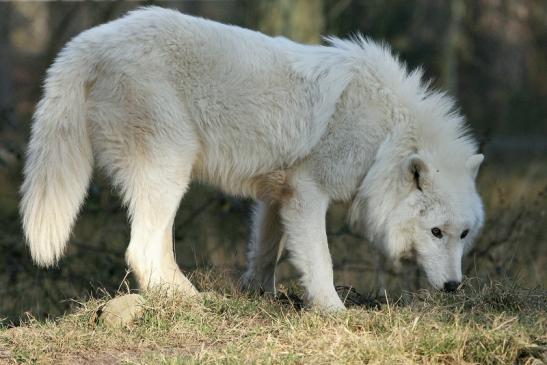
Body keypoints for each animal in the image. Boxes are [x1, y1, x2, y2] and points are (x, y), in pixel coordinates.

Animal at [21, 7, 484, 308]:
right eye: (436, 232)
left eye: (463, 234)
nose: (453, 286)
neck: (385, 134)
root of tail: (88, 40)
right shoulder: (308, 193)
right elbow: (321, 261)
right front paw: (334, 310)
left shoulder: (278, 194)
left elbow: (266, 251)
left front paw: (259, 295)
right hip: (172, 168)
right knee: (141, 249)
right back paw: (191, 299)